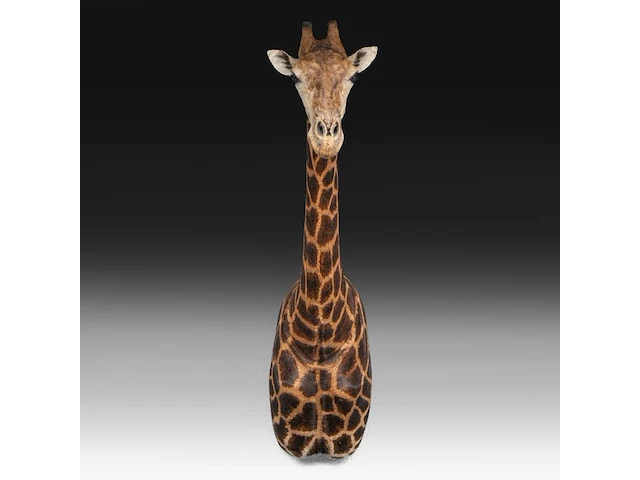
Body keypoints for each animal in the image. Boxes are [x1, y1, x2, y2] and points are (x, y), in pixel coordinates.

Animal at [266, 20, 378, 458]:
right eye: (295, 78)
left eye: (353, 77)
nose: (327, 136)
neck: (318, 325)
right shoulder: (291, 439)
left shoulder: (345, 440)